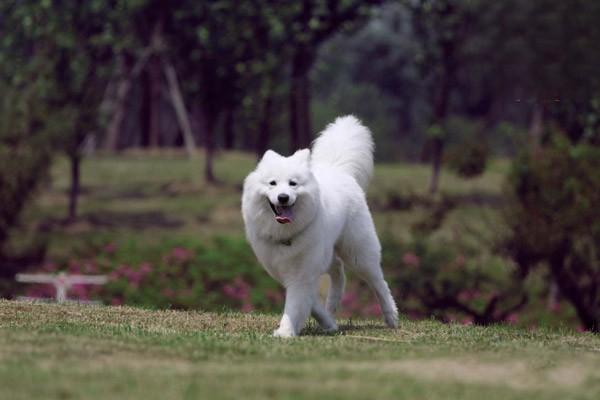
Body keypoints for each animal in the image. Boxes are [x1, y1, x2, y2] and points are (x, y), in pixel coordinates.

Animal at [239, 115, 398, 338]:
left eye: (293, 183)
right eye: (272, 183)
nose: (283, 197)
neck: (285, 235)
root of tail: (339, 169)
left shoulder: (302, 273)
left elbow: (296, 304)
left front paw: (286, 331)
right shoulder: (286, 272)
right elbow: (310, 302)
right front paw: (328, 322)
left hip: (358, 254)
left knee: (379, 283)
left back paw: (391, 316)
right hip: (329, 252)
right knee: (338, 271)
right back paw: (332, 306)